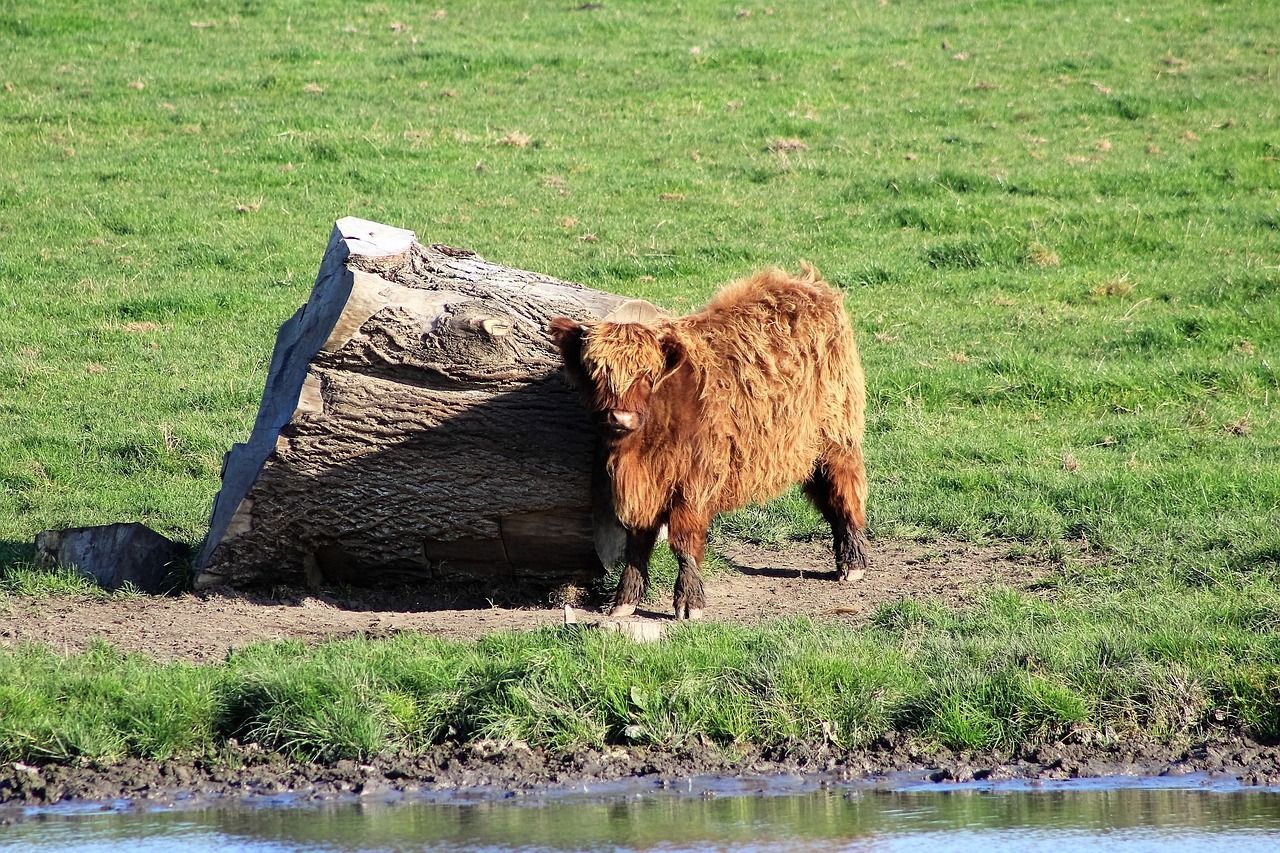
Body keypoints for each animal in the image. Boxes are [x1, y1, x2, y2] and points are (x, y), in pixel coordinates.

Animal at [550, 266, 870, 617]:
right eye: (596, 373)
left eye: (647, 375)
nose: (621, 418)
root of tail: (806, 283)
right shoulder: (644, 489)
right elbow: (636, 543)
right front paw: (626, 599)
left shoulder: (695, 485)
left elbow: (684, 542)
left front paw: (689, 602)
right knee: (827, 496)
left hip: (836, 437)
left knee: (844, 491)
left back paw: (853, 562)